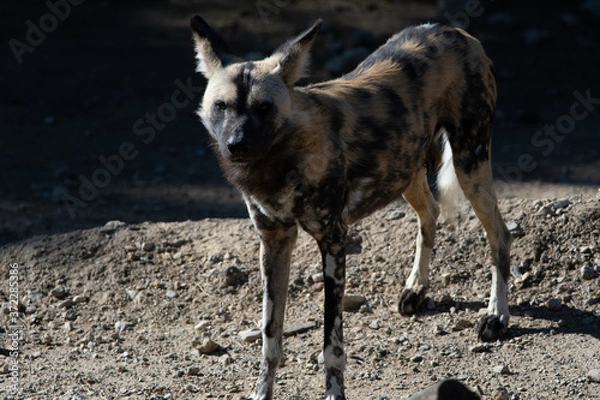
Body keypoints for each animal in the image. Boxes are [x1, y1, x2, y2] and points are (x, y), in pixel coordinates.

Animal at [191, 16, 510, 400]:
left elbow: (331, 345)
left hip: (469, 165)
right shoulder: (274, 242)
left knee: (500, 235)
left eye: (263, 108)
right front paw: (261, 393)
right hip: (405, 169)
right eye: (221, 106)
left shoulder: (333, 243)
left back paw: (496, 316)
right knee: (430, 214)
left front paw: (334, 393)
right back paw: (416, 289)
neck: (281, 159)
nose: (237, 145)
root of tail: (454, 31)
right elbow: (270, 337)